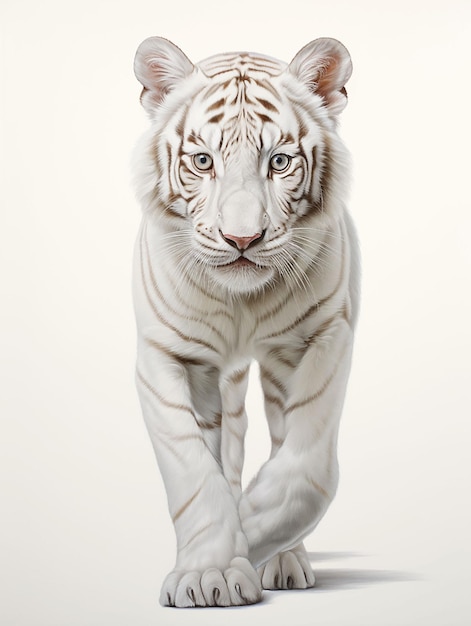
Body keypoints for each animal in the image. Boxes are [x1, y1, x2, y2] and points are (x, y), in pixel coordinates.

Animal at [131, 34, 360, 604]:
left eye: (279, 162)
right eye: (202, 161)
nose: (241, 240)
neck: (242, 304)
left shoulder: (324, 337)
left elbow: (307, 466)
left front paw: (251, 531)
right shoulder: (170, 356)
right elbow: (193, 472)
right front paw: (209, 571)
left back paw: (284, 561)